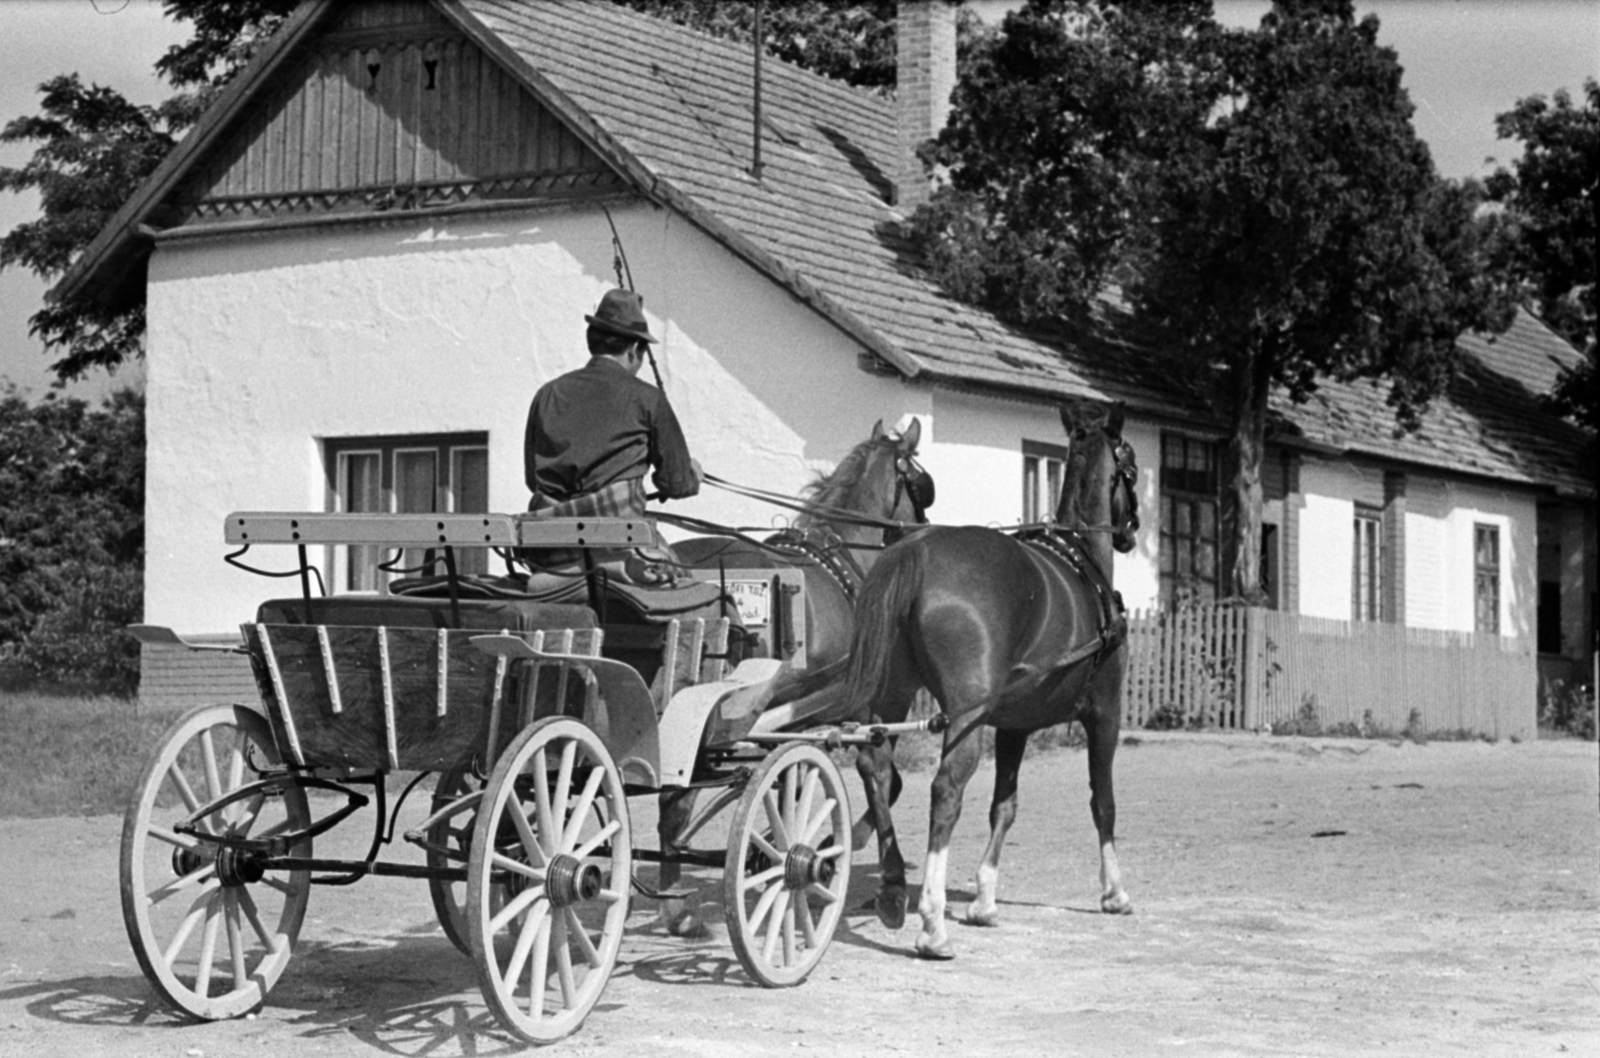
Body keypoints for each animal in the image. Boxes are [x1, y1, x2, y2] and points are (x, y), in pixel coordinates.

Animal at [832, 398, 1145, 960]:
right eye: (1129, 468)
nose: (1132, 530)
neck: (1083, 563)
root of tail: (919, 550)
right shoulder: (1105, 714)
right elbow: (1103, 802)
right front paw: (1114, 891)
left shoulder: (1013, 726)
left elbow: (1005, 806)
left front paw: (983, 899)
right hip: (966, 716)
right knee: (945, 789)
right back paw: (932, 922)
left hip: (894, 696)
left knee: (876, 766)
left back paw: (892, 887)